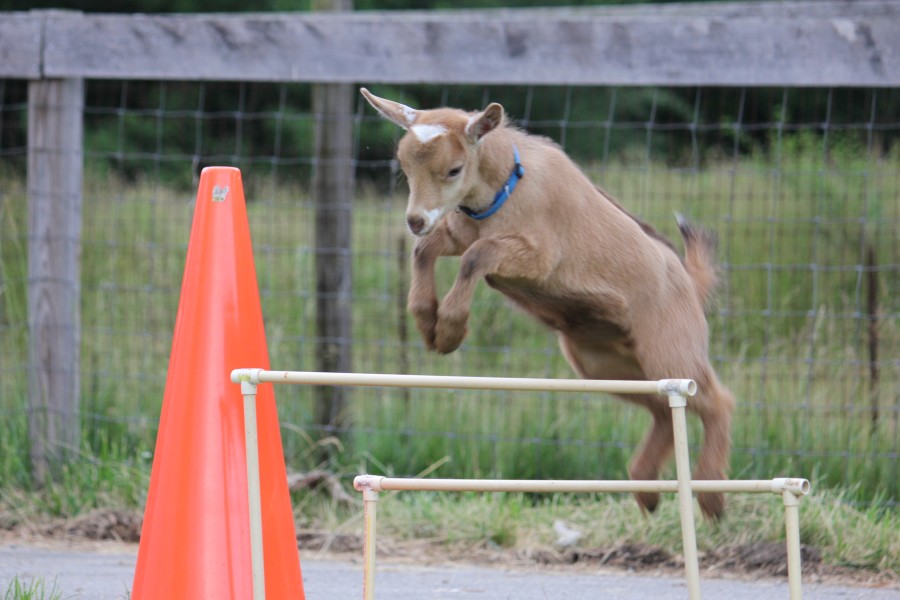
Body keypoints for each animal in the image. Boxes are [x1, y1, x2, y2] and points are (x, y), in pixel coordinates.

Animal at [362, 89, 736, 520]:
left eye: (454, 170)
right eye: (405, 167)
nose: (416, 220)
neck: (509, 185)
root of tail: (690, 282)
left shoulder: (537, 259)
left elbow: (476, 256)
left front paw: (452, 329)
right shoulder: (458, 232)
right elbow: (426, 251)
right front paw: (428, 324)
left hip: (671, 351)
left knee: (715, 402)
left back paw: (711, 497)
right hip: (605, 366)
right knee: (665, 410)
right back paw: (647, 490)